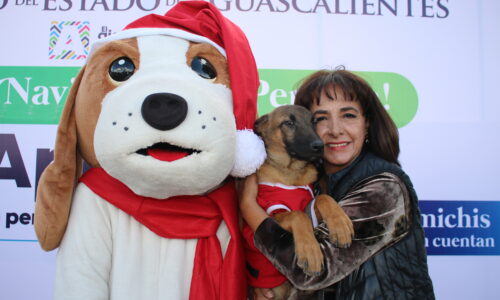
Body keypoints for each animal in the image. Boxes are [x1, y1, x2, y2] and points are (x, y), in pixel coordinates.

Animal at [248, 104, 354, 298]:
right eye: (289, 123)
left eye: (314, 121)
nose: (320, 146)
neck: (291, 172)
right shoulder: (273, 212)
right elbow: (297, 215)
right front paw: (310, 251)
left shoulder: (309, 207)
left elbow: (323, 198)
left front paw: (340, 225)